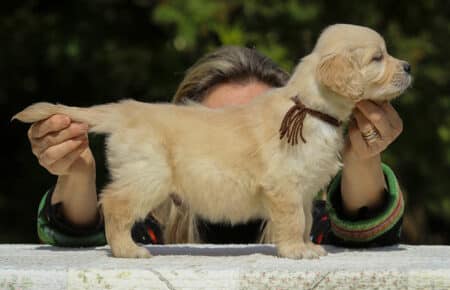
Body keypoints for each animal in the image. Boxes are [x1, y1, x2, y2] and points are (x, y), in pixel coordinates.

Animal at [13, 24, 412, 258]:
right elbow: (292, 221)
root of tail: (124, 110)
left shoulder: (302, 188)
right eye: (378, 57)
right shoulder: (283, 187)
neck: (311, 108)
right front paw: (295, 251)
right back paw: (128, 250)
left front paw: (304, 247)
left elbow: (306, 221)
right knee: (113, 204)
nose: (408, 67)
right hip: (148, 176)